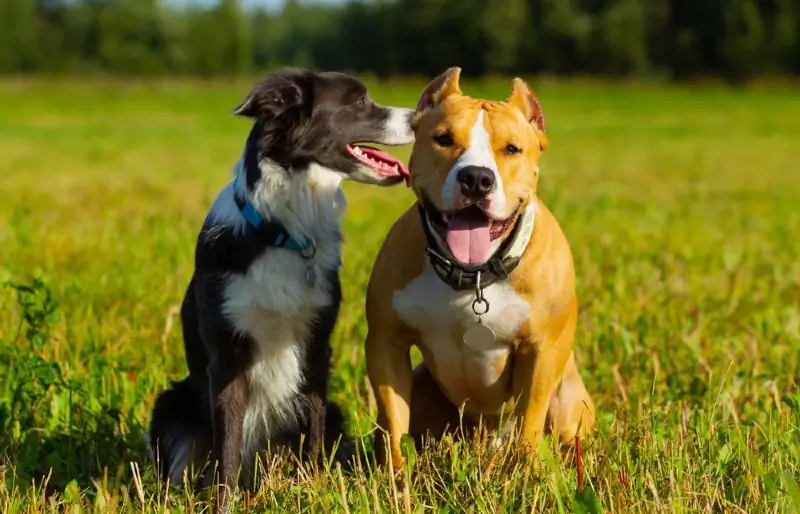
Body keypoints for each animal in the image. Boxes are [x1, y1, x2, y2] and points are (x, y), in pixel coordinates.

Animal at [148, 69, 412, 496]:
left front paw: (316, 490)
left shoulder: (317, 345)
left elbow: (313, 432)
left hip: (335, 410)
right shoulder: (227, 355)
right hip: (172, 404)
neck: (283, 232)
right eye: (358, 101)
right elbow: (227, 449)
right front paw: (225, 500)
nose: (419, 114)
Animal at [366, 67, 596, 464]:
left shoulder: (542, 352)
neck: (472, 276)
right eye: (443, 139)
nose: (476, 178)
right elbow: (394, 424)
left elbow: (529, 419)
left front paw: (525, 470)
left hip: (568, 402)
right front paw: (394, 476)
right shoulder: (385, 343)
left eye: (512, 148)